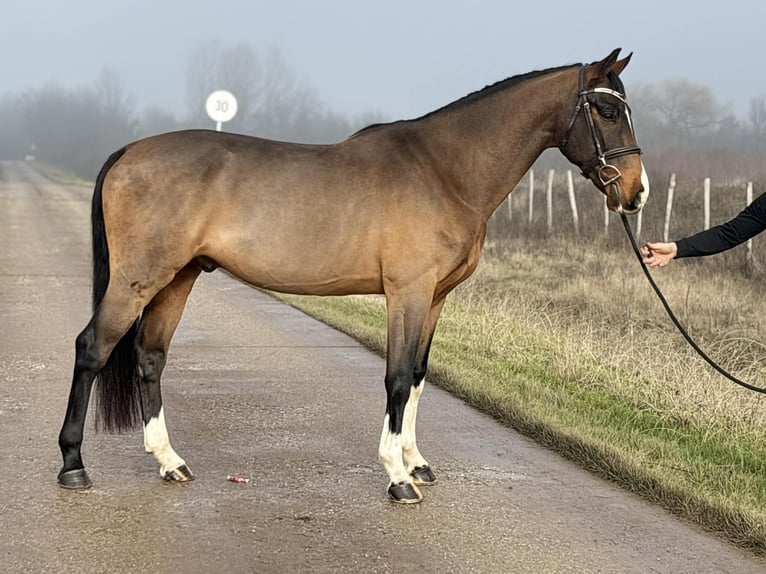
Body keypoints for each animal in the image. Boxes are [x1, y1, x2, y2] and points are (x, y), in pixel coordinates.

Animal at [58, 48, 649, 504]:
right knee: (92, 348)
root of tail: (130, 150)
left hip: (178, 278)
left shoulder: (435, 298)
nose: (636, 193)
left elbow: (418, 376)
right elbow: (396, 376)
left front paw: (416, 462)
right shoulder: (407, 293)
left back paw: (169, 461)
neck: (444, 170)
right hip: (139, 278)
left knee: (150, 357)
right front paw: (397, 477)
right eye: (604, 109)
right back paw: (73, 465)